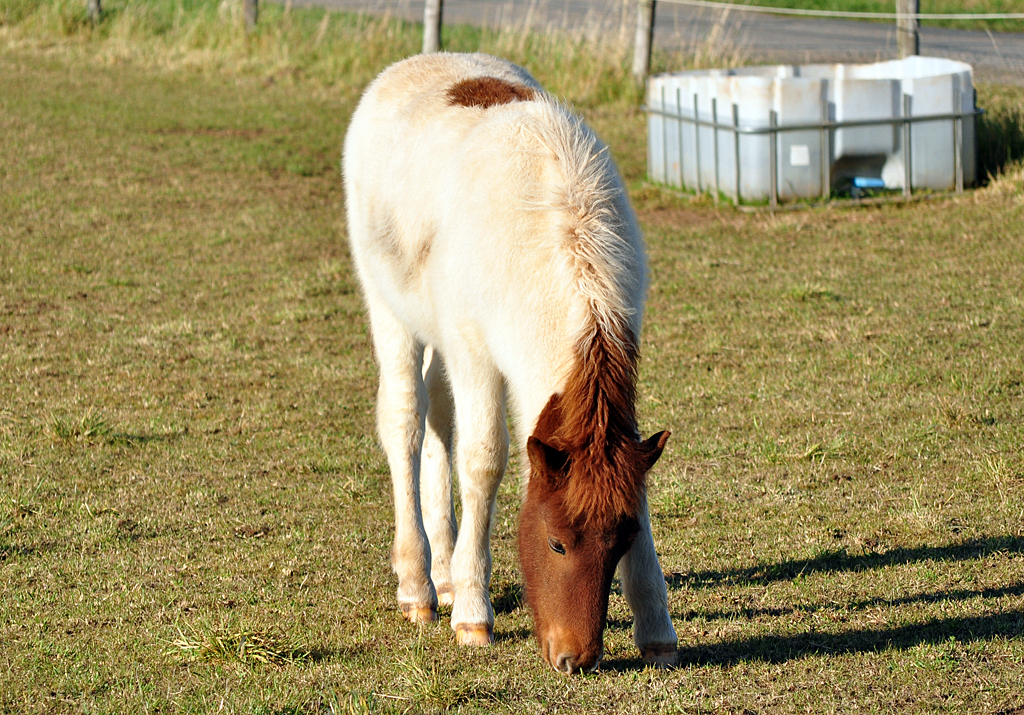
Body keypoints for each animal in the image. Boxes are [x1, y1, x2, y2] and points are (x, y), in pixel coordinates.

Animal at [346, 53, 679, 671]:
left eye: (622, 541)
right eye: (556, 542)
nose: (577, 657)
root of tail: (412, 64)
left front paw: (656, 628)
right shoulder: (473, 353)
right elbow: (483, 461)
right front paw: (473, 616)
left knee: (438, 422)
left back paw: (445, 574)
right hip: (390, 311)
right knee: (405, 421)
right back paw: (420, 588)